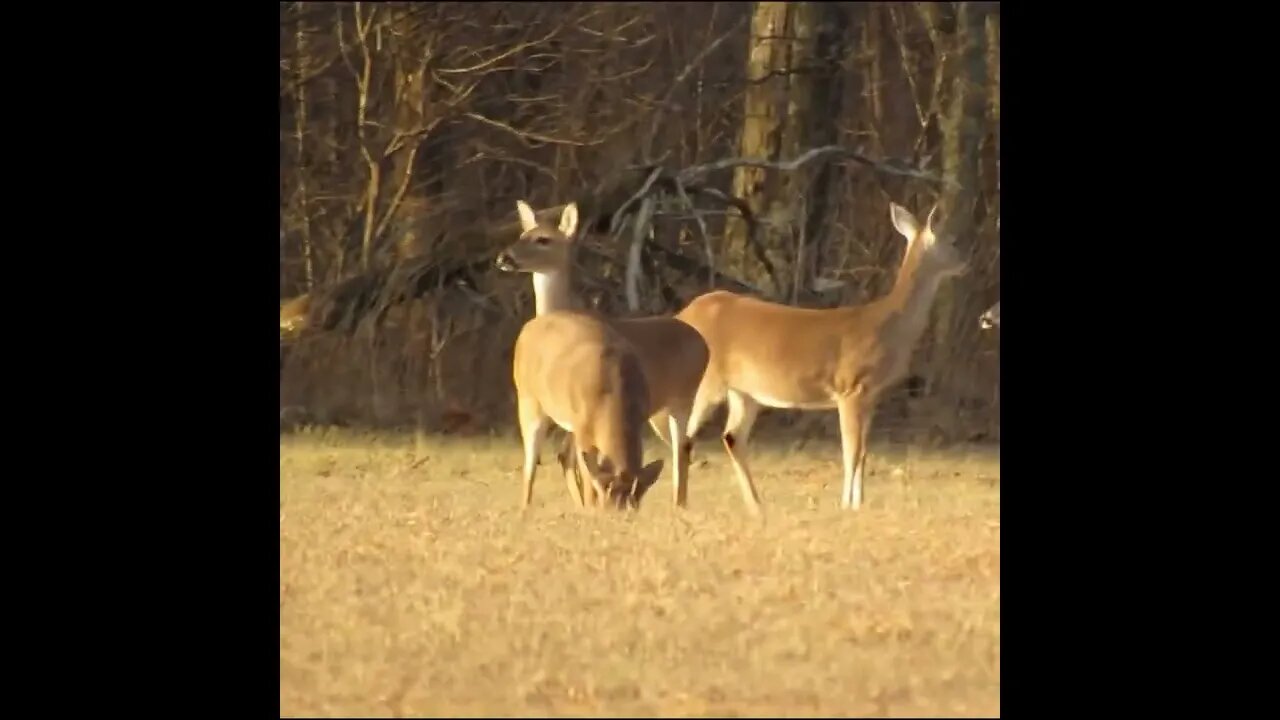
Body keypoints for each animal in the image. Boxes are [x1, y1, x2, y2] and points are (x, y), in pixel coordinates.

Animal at [511, 309, 665, 510]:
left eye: (635, 507)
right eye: (607, 506)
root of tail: (526, 328)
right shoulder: (584, 434)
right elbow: (589, 478)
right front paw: (591, 508)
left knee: (564, 457)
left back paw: (578, 506)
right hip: (528, 400)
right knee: (531, 464)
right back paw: (526, 508)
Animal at [674, 201, 968, 512]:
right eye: (952, 240)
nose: (965, 262)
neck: (888, 324)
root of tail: (686, 313)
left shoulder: (872, 395)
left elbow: (863, 452)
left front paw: (858, 503)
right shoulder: (850, 387)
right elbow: (851, 451)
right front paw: (847, 504)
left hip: (744, 391)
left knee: (731, 436)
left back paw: (755, 504)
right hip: (707, 382)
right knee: (683, 433)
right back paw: (680, 502)